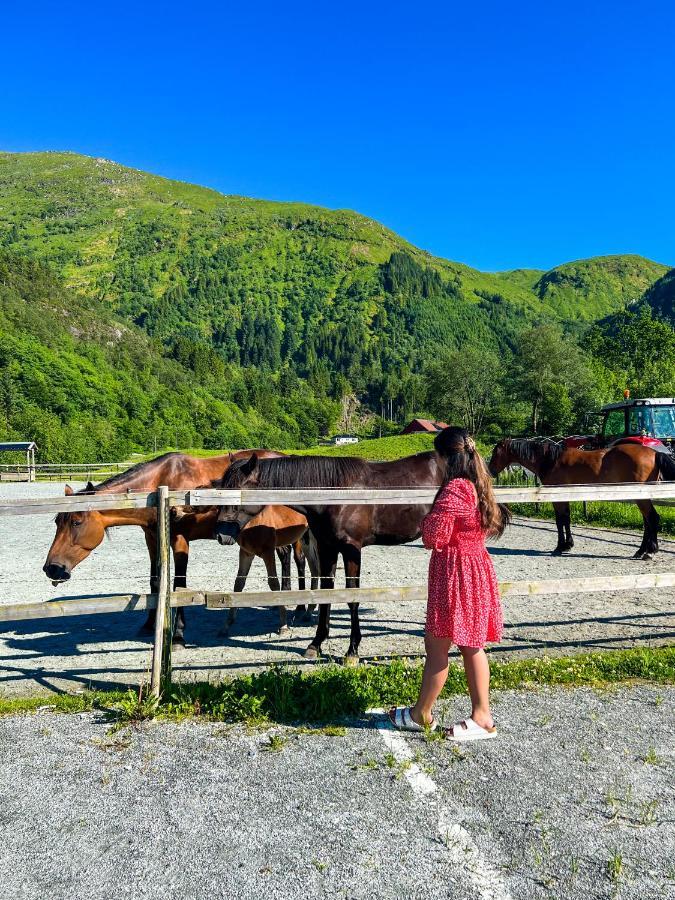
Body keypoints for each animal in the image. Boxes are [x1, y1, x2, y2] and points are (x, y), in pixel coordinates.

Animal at [42, 448, 316, 644]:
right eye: (56, 521)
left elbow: (179, 584)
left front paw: (179, 635)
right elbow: (155, 581)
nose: (52, 568)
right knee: (287, 558)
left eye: (76, 521)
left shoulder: (180, 540)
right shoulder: (152, 539)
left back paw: (300, 609)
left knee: (300, 560)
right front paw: (149, 624)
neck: (160, 485)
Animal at [211, 450, 444, 660]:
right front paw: (316, 644)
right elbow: (326, 591)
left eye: (236, 492)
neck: (335, 495)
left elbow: (352, 596)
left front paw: (352, 651)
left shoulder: (351, 549)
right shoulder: (327, 547)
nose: (222, 535)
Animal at [488, 440, 675, 560]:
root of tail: (654, 453)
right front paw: (568, 545)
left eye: (495, 452)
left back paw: (650, 552)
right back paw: (641, 551)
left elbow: (560, 521)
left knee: (652, 518)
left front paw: (560, 547)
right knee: (647, 521)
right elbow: (567, 519)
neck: (551, 460)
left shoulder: (557, 497)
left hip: (640, 496)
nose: (490, 471)